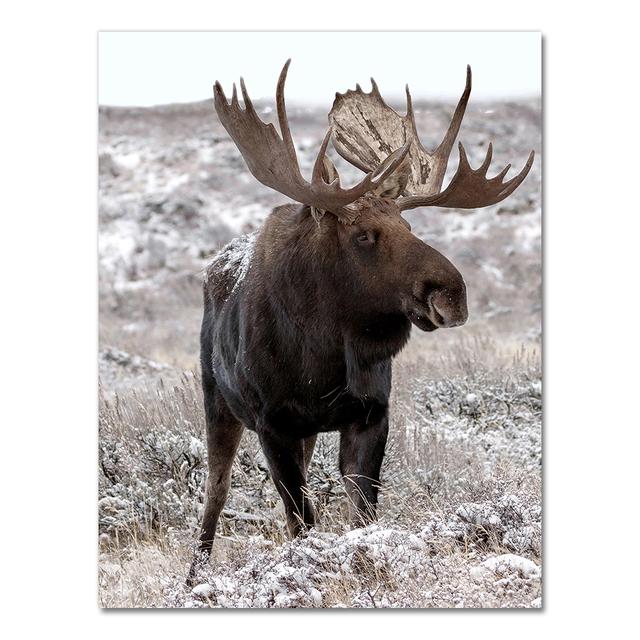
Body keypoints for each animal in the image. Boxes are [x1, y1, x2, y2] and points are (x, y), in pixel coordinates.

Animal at [188, 60, 534, 583]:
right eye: (365, 235)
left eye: (409, 226)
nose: (452, 292)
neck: (322, 358)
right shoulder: (273, 422)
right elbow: (302, 520)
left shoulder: (370, 415)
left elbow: (362, 514)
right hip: (218, 402)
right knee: (216, 488)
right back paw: (195, 573)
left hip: (305, 431)